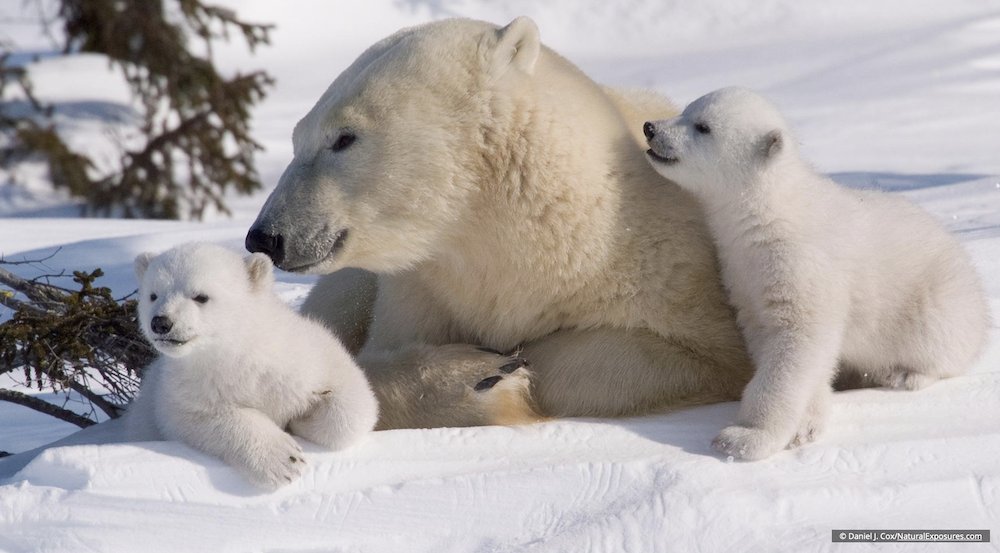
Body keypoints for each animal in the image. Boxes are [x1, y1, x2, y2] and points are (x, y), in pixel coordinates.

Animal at [124, 243, 379, 489]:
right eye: (153, 295)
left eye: (200, 296)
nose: (161, 322)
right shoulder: (183, 389)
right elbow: (199, 418)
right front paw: (285, 459)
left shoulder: (304, 357)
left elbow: (353, 400)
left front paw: (302, 419)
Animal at [245, 16, 756, 430]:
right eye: (297, 137)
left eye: (343, 138)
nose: (265, 236)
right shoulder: (423, 289)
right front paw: (476, 376)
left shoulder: (668, 273)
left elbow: (688, 354)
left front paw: (505, 370)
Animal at [642, 87, 990, 460]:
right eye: (687, 109)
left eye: (703, 126)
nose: (650, 128)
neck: (769, 214)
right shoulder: (744, 274)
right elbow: (776, 342)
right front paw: (806, 424)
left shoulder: (802, 265)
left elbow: (797, 342)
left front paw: (744, 437)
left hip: (937, 300)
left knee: (938, 341)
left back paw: (906, 375)